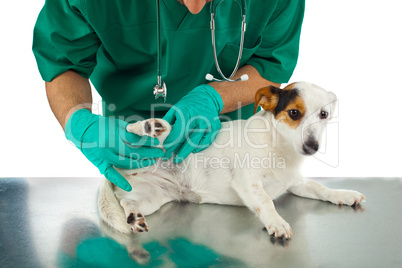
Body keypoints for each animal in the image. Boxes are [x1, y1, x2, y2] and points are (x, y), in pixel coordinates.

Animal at [97, 81, 364, 239]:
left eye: (324, 114)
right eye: (294, 113)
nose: (312, 147)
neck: (278, 147)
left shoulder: (296, 183)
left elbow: (321, 188)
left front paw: (344, 195)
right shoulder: (247, 182)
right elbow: (266, 202)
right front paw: (276, 222)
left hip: (151, 197)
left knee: (128, 202)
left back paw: (134, 218)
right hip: (152, 144)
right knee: (135, 131)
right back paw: (149, 127)